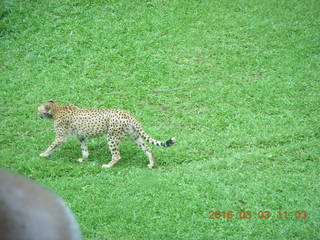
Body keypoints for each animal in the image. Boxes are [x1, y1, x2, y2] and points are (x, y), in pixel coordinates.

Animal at [39, 100, 178, 168]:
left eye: (39, 110)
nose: (38, 115)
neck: (56, 109)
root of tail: (128, 114)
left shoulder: (61, 137)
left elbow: (52, 145)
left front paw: (43, 154)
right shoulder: (82, 136)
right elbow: (84, 149)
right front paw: (83, 159)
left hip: (112, 136)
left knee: (117, 155)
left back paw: (108, 166)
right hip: (134, 136)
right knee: (147, 148)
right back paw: (151, 164)